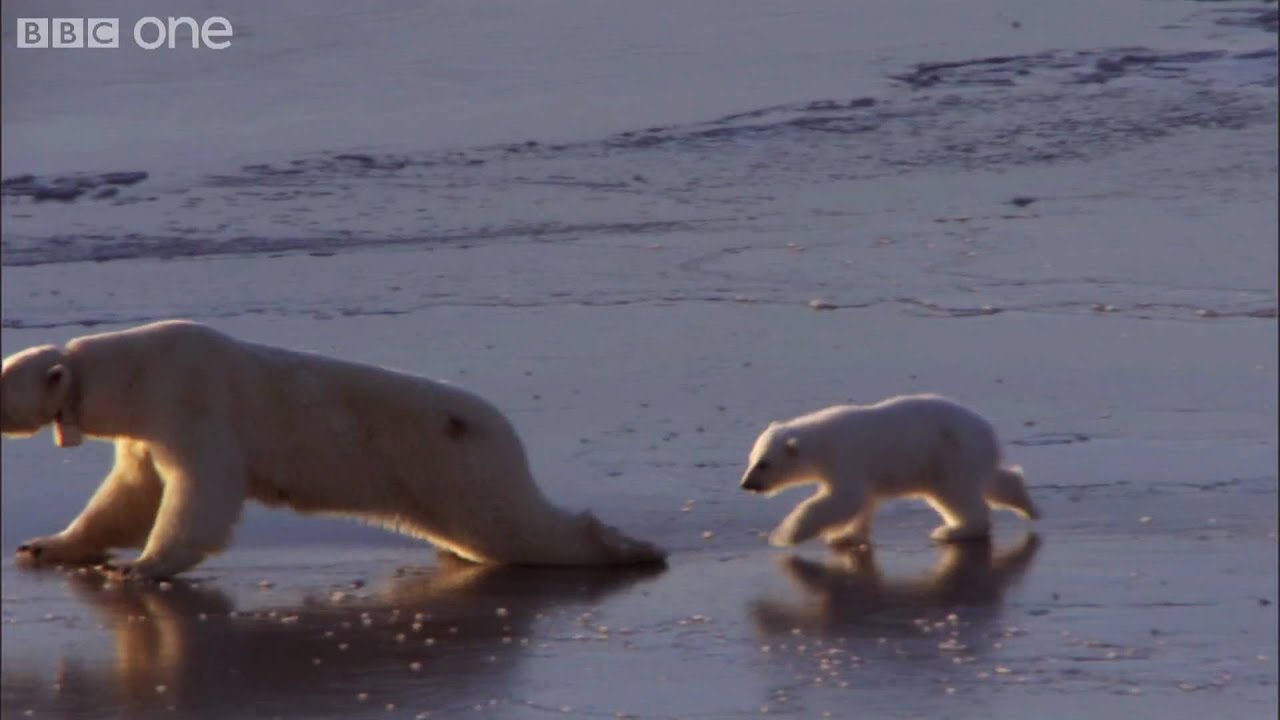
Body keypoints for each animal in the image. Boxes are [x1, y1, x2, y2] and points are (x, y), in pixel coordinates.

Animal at [0, 320, 666, 579]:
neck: (135, 371)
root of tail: (501, 429)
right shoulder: (146, 433)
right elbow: (129, 495)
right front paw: (45, 544)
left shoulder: (194, 402)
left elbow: (200, 490)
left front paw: (139, 567)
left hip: (454, 466)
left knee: (515, 525)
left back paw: (629, 548)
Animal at [738, 394, 1038, 547]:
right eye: (750, 458)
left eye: (763, 463)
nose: (746, 484)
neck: (822, 440)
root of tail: (989, 433)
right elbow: (863, 502)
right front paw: (846, 534)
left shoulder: (848, 459)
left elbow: (843, 500)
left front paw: (785, 535)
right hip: (968, 458)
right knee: (992, 480)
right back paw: (1027, 504)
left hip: (949, 456)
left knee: (958, 495)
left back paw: (952, 531)